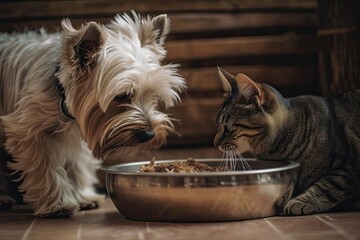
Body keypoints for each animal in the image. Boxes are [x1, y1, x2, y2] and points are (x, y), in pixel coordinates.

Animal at [0, 11, 184, 218]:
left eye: (153, 95)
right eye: (122, 96)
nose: (149, 134)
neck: (61, 91)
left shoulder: (79, 129)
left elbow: (77, 164)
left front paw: (83, 197)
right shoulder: (29, 132)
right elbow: (46, 168)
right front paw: (58, 205)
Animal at [214, 67, 360, 216]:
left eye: (227, 128)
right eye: (218, 125)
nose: (215, 144)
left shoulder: (347, 167)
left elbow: (328, 185)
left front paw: (300, 202)